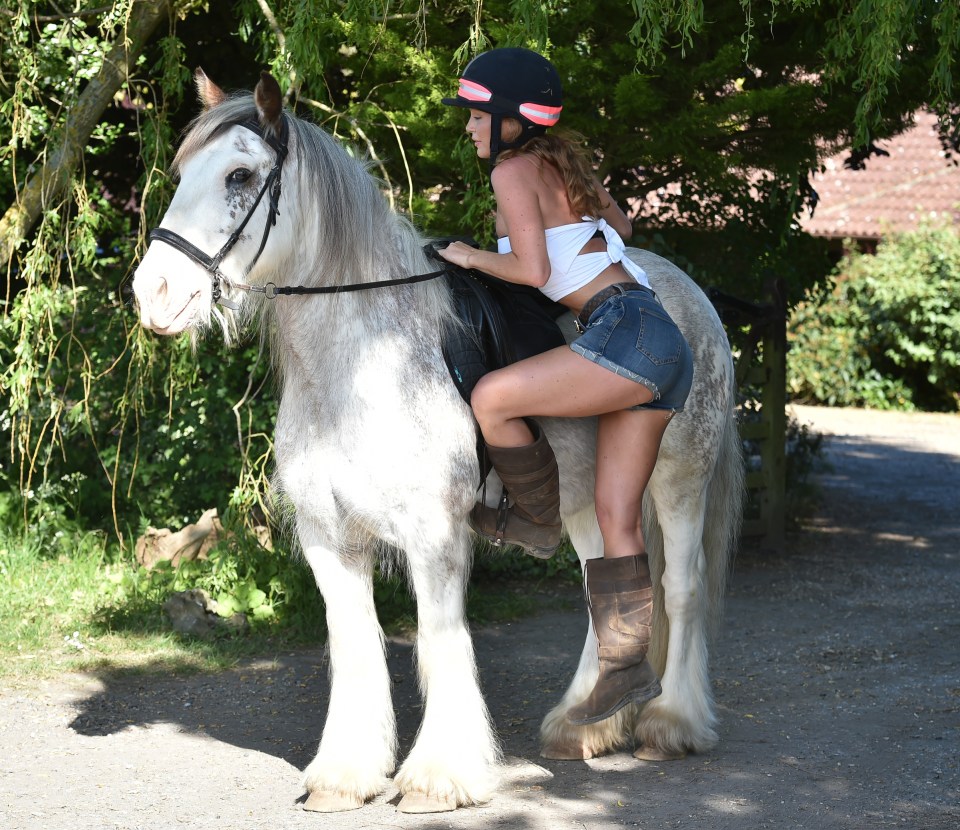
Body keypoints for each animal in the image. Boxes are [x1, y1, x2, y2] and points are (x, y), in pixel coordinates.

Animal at [131, 71, 748, 812]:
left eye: (240, 175)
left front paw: (439, 774)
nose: (153, 293)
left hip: (680, 480)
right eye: (182, 173)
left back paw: (671, 722)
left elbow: (440, 641)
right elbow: (356, 645)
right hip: (589, 502)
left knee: (680, 588)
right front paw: (346, 773)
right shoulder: (327, 536)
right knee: (607, 590)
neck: (358, 369)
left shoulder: (435, 536)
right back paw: (584, 722)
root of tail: (688, 297)